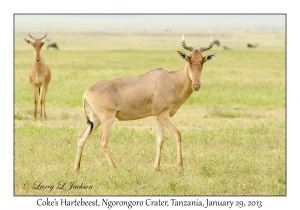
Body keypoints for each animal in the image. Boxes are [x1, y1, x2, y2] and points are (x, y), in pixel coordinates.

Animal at [74, 33, 216, 171]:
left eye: (202, 61)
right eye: (189, 60)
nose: (196, 85)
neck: (171, 80)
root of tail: (87, 92)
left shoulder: (159, 116)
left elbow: (159, 140)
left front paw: (157, 168)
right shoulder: (163, 114)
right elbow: (177, 134)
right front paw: (180, 166)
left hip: (95, 119)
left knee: (81, 136)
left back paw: (76, 167)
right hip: (107, 118)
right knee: (103, 141)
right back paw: (114, 167)